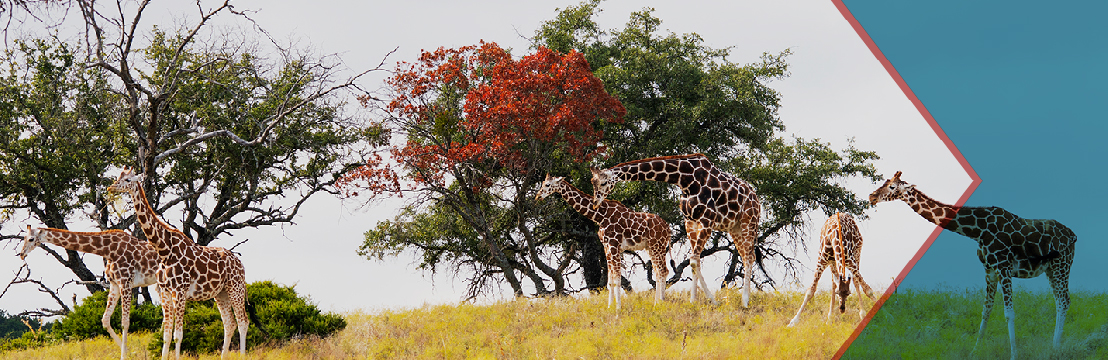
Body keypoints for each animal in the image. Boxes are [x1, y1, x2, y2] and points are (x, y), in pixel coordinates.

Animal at [17, 223, 161, 356]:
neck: (108, 250)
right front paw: (129, 351)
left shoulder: (125, 282)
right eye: (23, 238)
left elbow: (125, 322)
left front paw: (126, 354)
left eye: (31, 239)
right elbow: (105, 320)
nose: (22, 254)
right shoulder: (114, 284)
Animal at [105, 168, 249, 358]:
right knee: (229, 323)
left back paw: (242, 355)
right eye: (118, 177)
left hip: (235, 288)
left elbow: (178, 335)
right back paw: (223, 356)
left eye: (128, 180)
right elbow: (166, 335)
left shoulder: (180, 292)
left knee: (243, 322)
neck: (165, 250)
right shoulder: (166, 291)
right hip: (221, 293)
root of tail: (241, 264)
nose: (111, 187)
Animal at [534, 172, 669, 305]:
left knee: (663, 271)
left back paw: (661, 302)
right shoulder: (606, 246)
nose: (538, 196)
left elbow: (617, 278)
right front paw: (610, 306)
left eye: (547, 184)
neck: (600, 216)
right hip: (651, 248)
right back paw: (657, 302)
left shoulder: (614, 245)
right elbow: (610, 280)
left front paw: (618, 308)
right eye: (542, 183)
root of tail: (667, 228)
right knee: (659, 271)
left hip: (657, 246)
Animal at [589, 152, 762, 307]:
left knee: (749, 256)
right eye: (592, 182)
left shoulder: (707, 221)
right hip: (735, 228)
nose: (596, 202)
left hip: (749, 222)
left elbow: (693, 260)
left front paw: (708, 300)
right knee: (746, 255)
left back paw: (745, 301)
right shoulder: (690, 221)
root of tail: (756, 197)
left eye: (603, 183)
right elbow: (695, 261)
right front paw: (696, 301)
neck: (686, 179)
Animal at [868, 169, 1076, 356]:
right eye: (885, 182)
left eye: (892, 186)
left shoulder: (1004, 266)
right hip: (1050, 269)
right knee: (1060, 300)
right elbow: (986, 310)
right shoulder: (989, 269)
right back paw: (1054, 346)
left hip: (1062, 264)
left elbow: (1009, 312)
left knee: (1064, 301)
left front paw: (1014, 354)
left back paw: (1056, 348)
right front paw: (974, 351)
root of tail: (1073, 234)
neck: (978, 231)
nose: (871, 196)